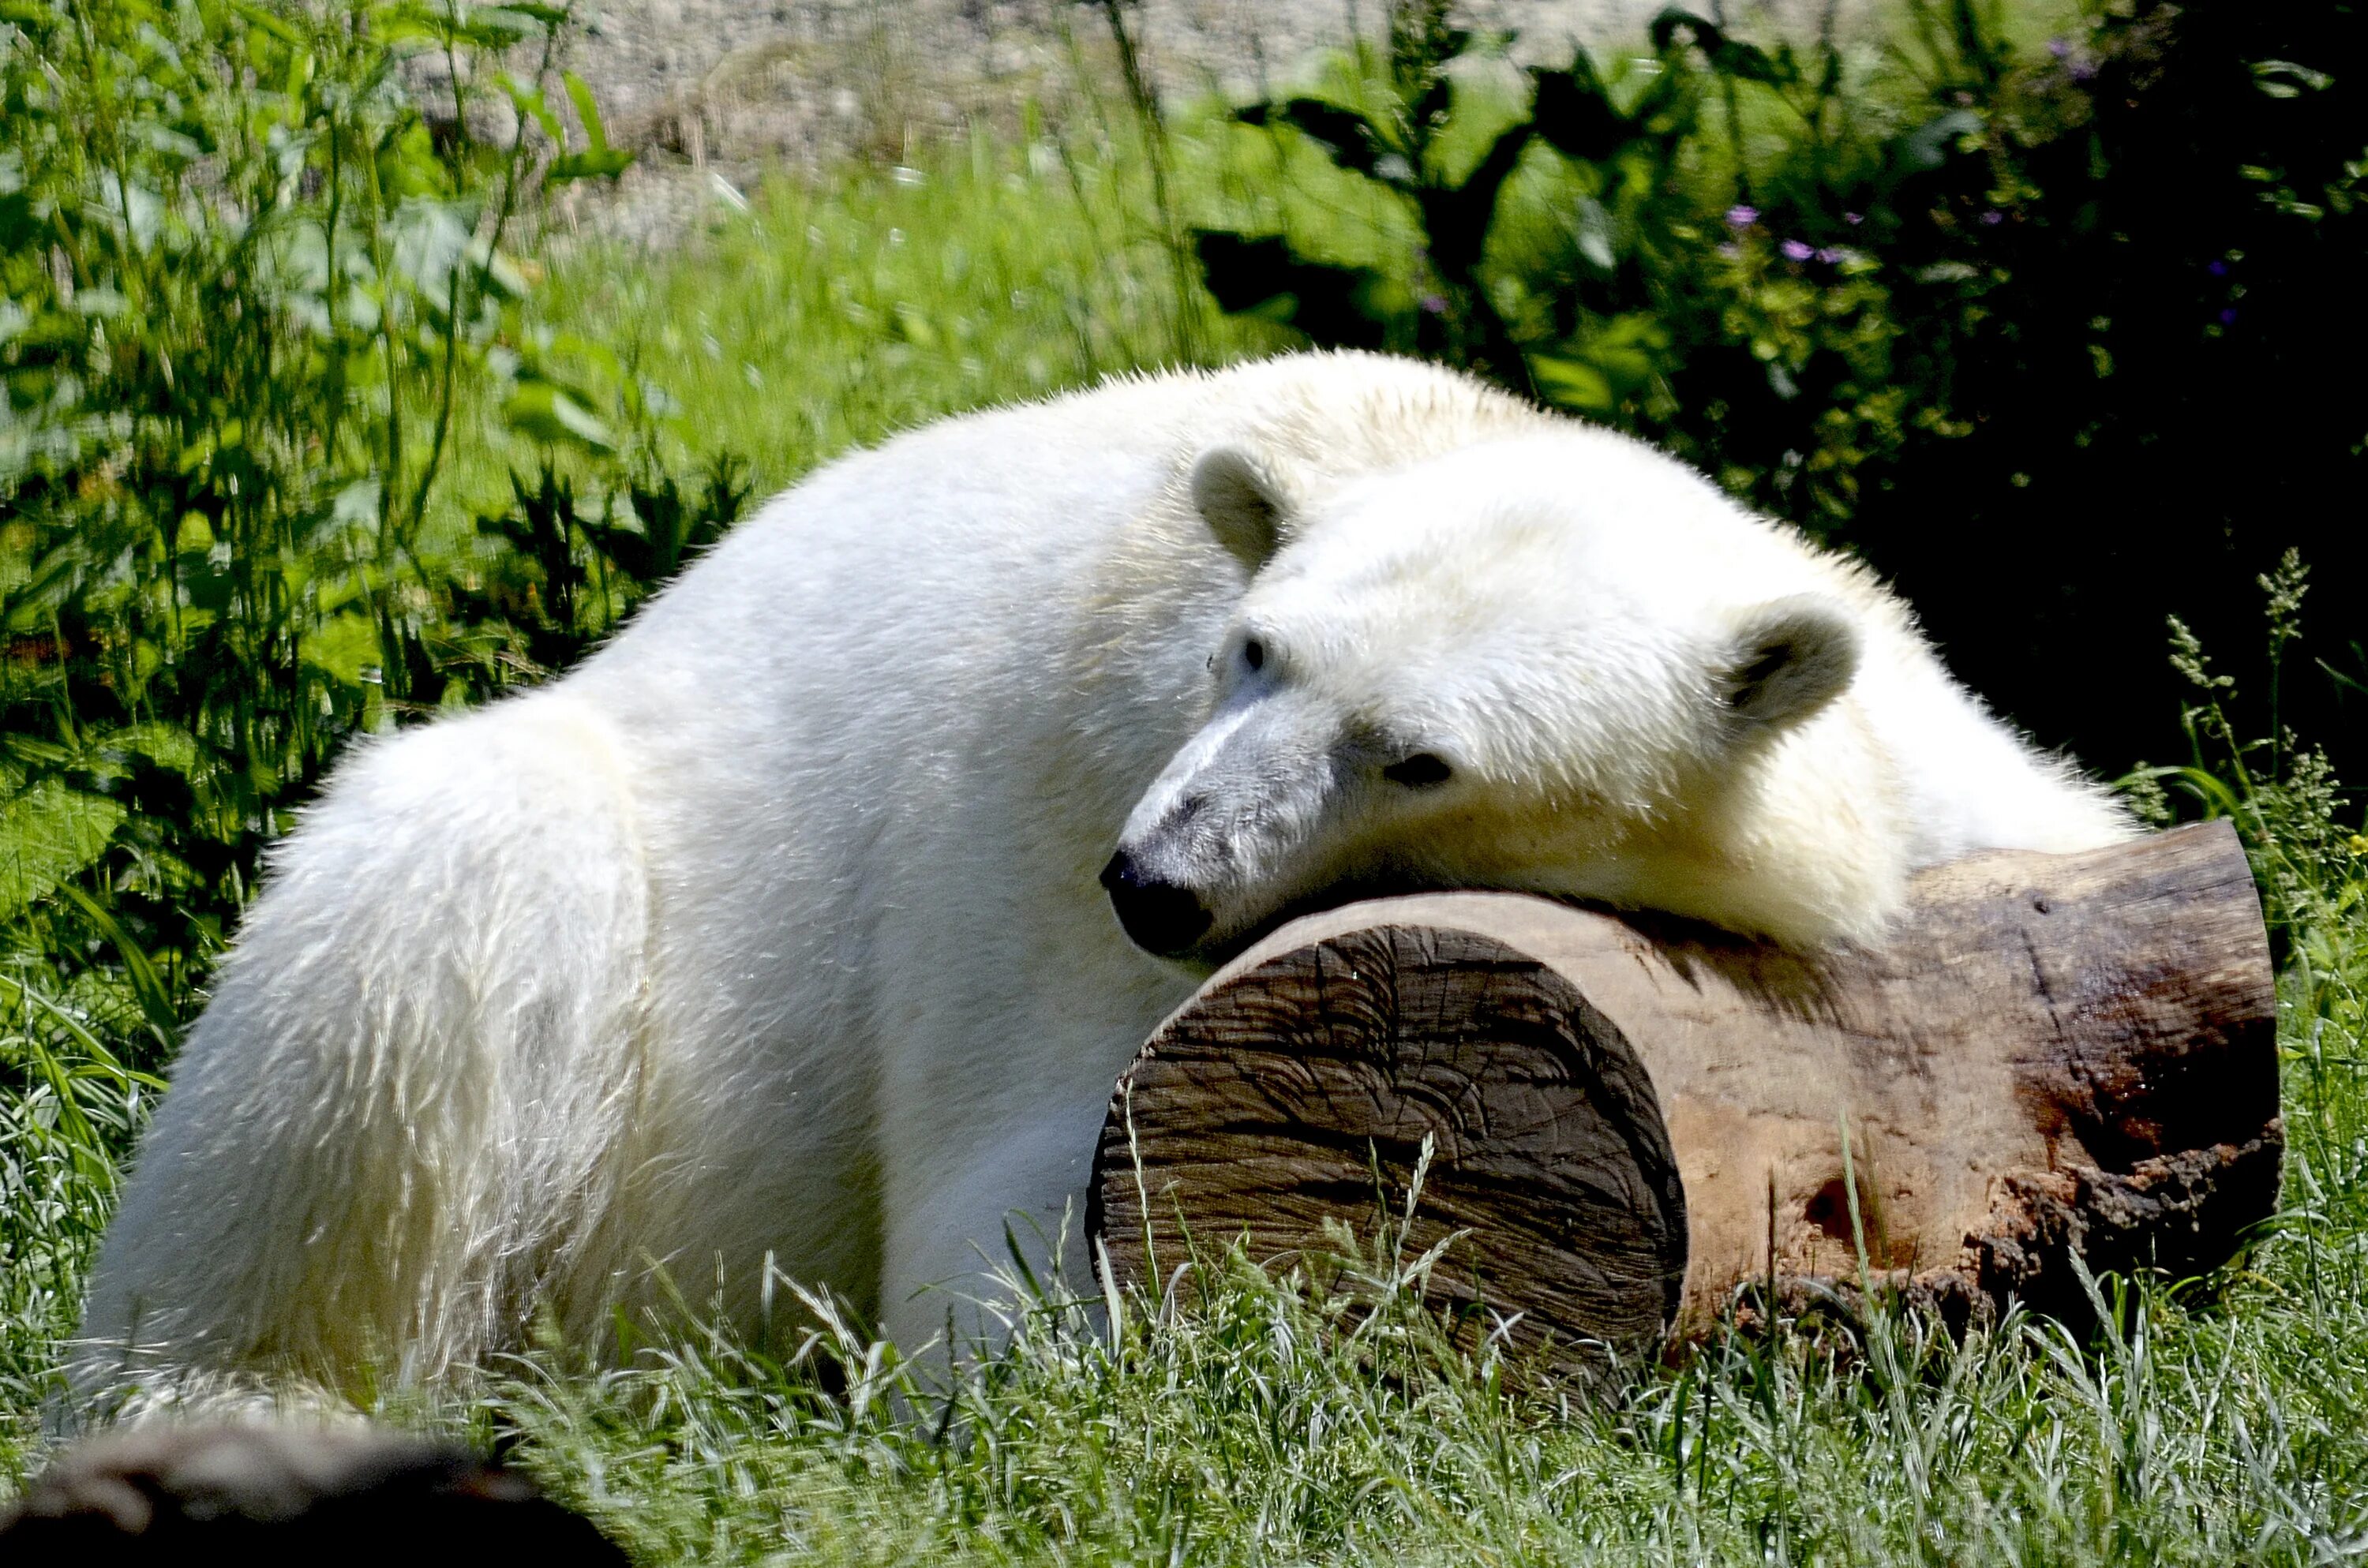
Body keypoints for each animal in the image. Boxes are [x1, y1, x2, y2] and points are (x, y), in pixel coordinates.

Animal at [73, 350, 2131, 1392]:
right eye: (1253, 651)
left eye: (1421, 754)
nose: (1154, 879)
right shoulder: (1048, 809)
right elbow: (1014, 1208)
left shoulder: (1944, 780)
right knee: (433, 919)